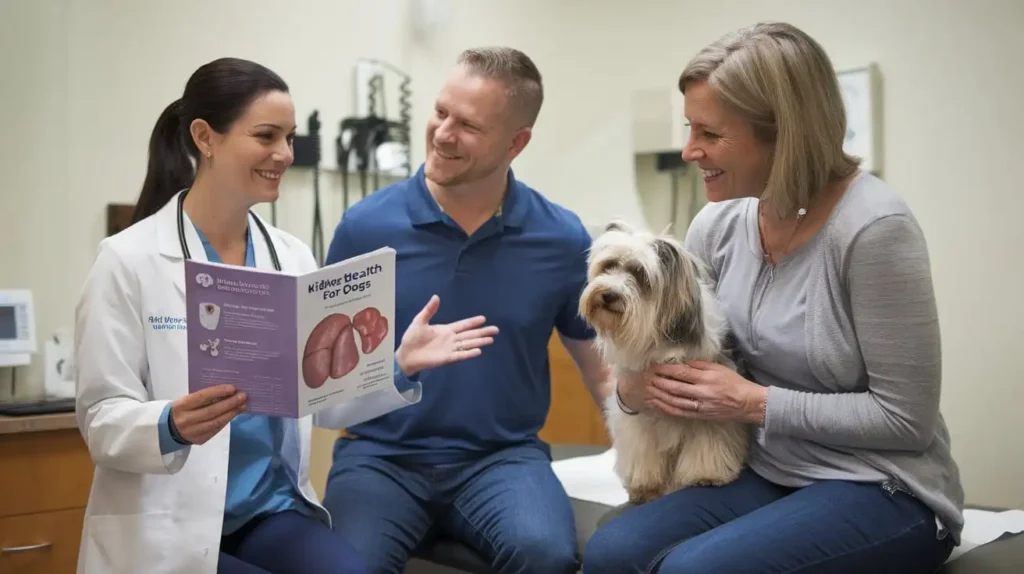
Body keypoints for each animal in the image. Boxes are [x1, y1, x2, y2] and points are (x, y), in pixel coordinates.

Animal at [577, 218, 753, 501]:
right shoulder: (640, 412)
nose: (608, 294)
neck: (657, 336)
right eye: (609, 265)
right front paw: (644, 485)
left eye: (639, 274)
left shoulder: (710, 409)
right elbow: (642, 451)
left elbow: (708, 442)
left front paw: (707, 476)